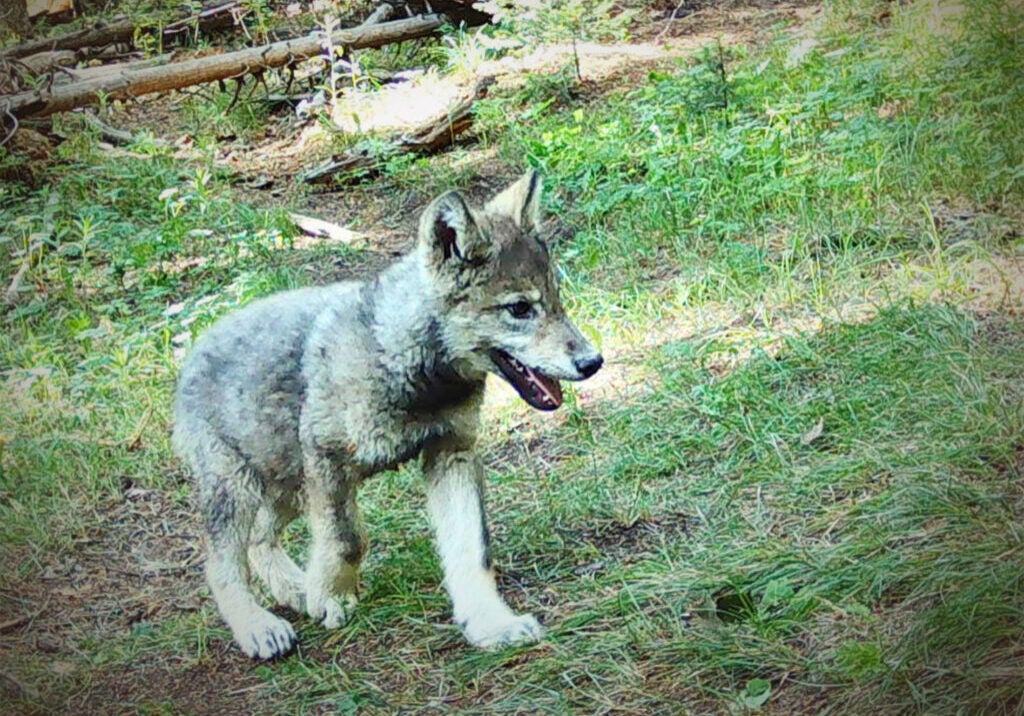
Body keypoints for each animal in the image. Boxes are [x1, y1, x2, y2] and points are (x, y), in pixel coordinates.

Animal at [172, 171, 603, 659]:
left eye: (557, 300)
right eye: (520, 309)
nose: (593, 362)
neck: (401, 361)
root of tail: (195, 346)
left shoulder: (451, 453)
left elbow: (473, 549)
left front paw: (490, 624)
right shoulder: (328, 458)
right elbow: (347, 539)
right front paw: (331, 596)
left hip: (287, 485)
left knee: (261, 541)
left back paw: (295, 590)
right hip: (242, 487)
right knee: (220, 562)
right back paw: (257, 626)